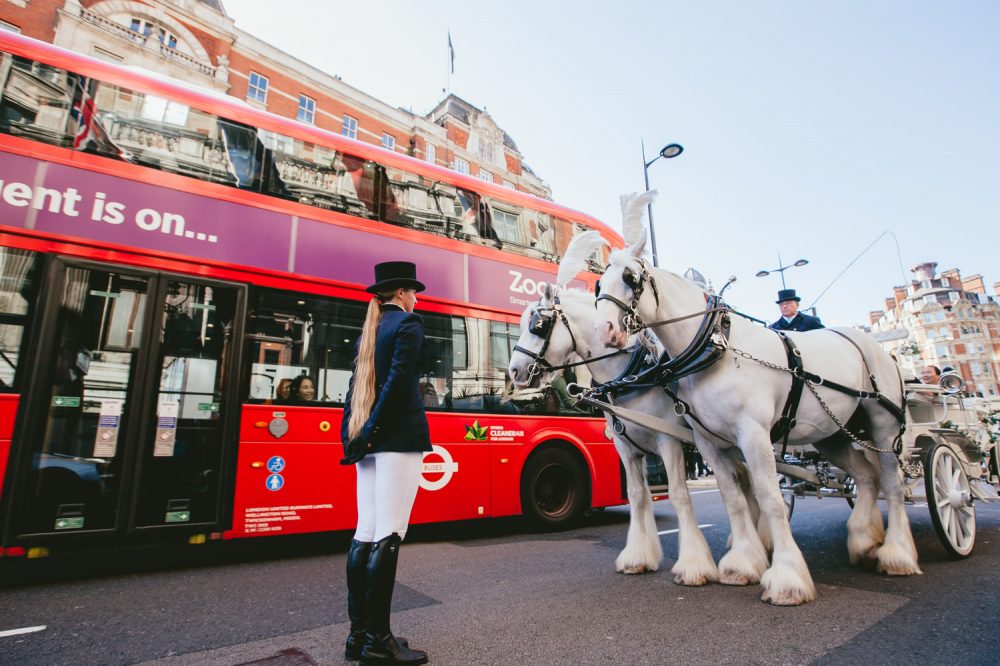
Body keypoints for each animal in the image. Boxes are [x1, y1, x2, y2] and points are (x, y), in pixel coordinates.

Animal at [508, 231, 764, 584]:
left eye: (539, 326)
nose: (514, 371)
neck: (632, 373)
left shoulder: (668, 441)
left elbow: (679, 494)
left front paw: (694, 565)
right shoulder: (626, 448)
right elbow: (638, 496)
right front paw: (637, 557)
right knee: (744, 479)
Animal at [592, 193, 920, 608]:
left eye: (631, 279)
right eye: (598, 283)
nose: (605, 331)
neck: (715, 347)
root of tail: (878, 347)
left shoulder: (753, 435)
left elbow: (769, 497)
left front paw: (786, 579)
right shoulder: (709, 442)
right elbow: (733, 497)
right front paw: (741, 565)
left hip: (884, 426)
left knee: (891, 484)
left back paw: (897, 554)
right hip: (833, 434)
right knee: (865, 477)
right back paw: (864, 540)